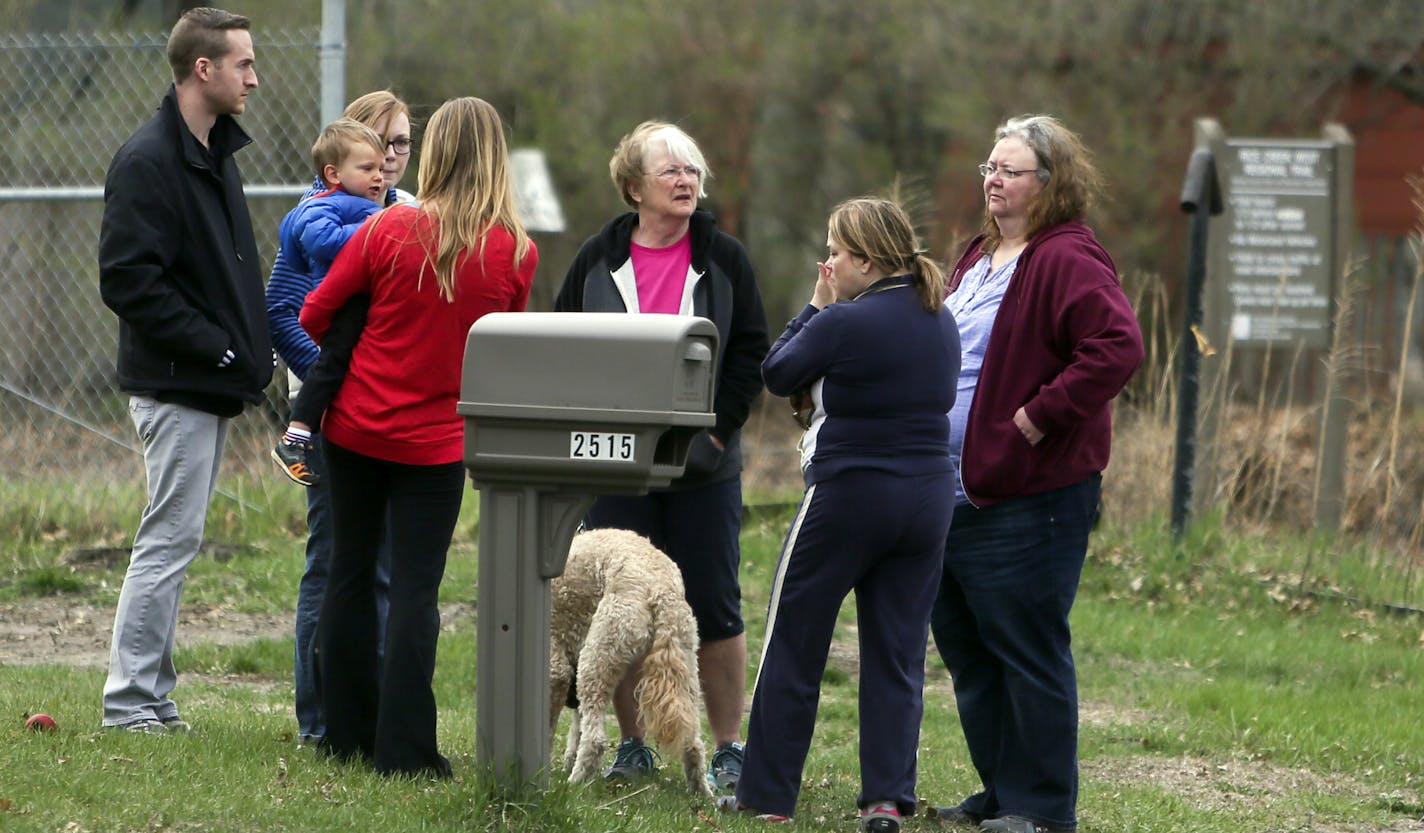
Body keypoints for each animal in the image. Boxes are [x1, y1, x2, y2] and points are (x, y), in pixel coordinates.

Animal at [552, 526, 712, 791]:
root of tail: (661, 589)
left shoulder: (556, 669)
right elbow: (575, 727)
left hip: (598, 654)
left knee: (595, 739)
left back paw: (575, 782)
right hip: (686, 662)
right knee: (693, 742)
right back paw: (700, 790)